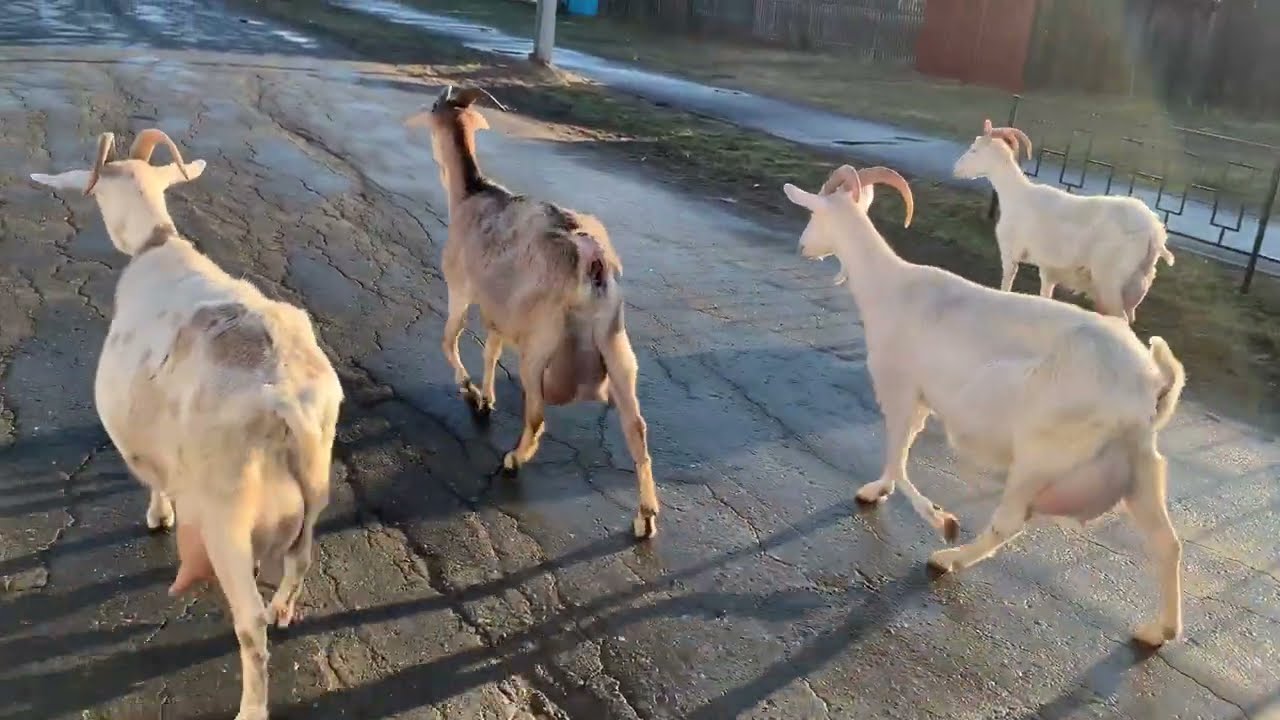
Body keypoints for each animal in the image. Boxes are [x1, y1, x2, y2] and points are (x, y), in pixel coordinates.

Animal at [31, 130, 343, 720]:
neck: (157, 246)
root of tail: (288, 405)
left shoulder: (139, 436)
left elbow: (152, 479)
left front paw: (159, 518)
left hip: (229, 520)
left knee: (249, 624)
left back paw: (250, 705)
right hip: (314, 490)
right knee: (300, 562)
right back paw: (283, 611)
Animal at [408, 86, 659, 540]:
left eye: (434, 109)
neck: (471, 195)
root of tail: (592, 262)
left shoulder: (462, 289)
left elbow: (449, 339)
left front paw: (470, 391)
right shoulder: (499, 311)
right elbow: (490, 350)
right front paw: (487, 397)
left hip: (540, 348)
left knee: (538, 414)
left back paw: (513, 460)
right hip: (616, 344)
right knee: (637, 427)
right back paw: (645, 516)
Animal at [783, 164, 1187, 647]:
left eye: (814, 213)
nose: (803, 246)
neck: (892, 287)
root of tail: (1150, 382)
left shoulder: (901, 388)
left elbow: (898, 455)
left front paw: (939, 518)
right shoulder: (922, 399)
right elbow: (898, 453)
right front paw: (876, 490)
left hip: (1043, 453)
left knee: (1009, 521)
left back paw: (948, 558)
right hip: (1141, 466)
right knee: (1167, 542)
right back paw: (1160, 629)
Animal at [954, 119, 1175, 322]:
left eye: (974, 150)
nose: (955, 169)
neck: (1016, 194)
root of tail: (1154, 231)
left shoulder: (1010, 253)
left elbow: (1006, 286)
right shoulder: (1048, 268)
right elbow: (1045, 294)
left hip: (1110, 281)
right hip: (1136, 286)